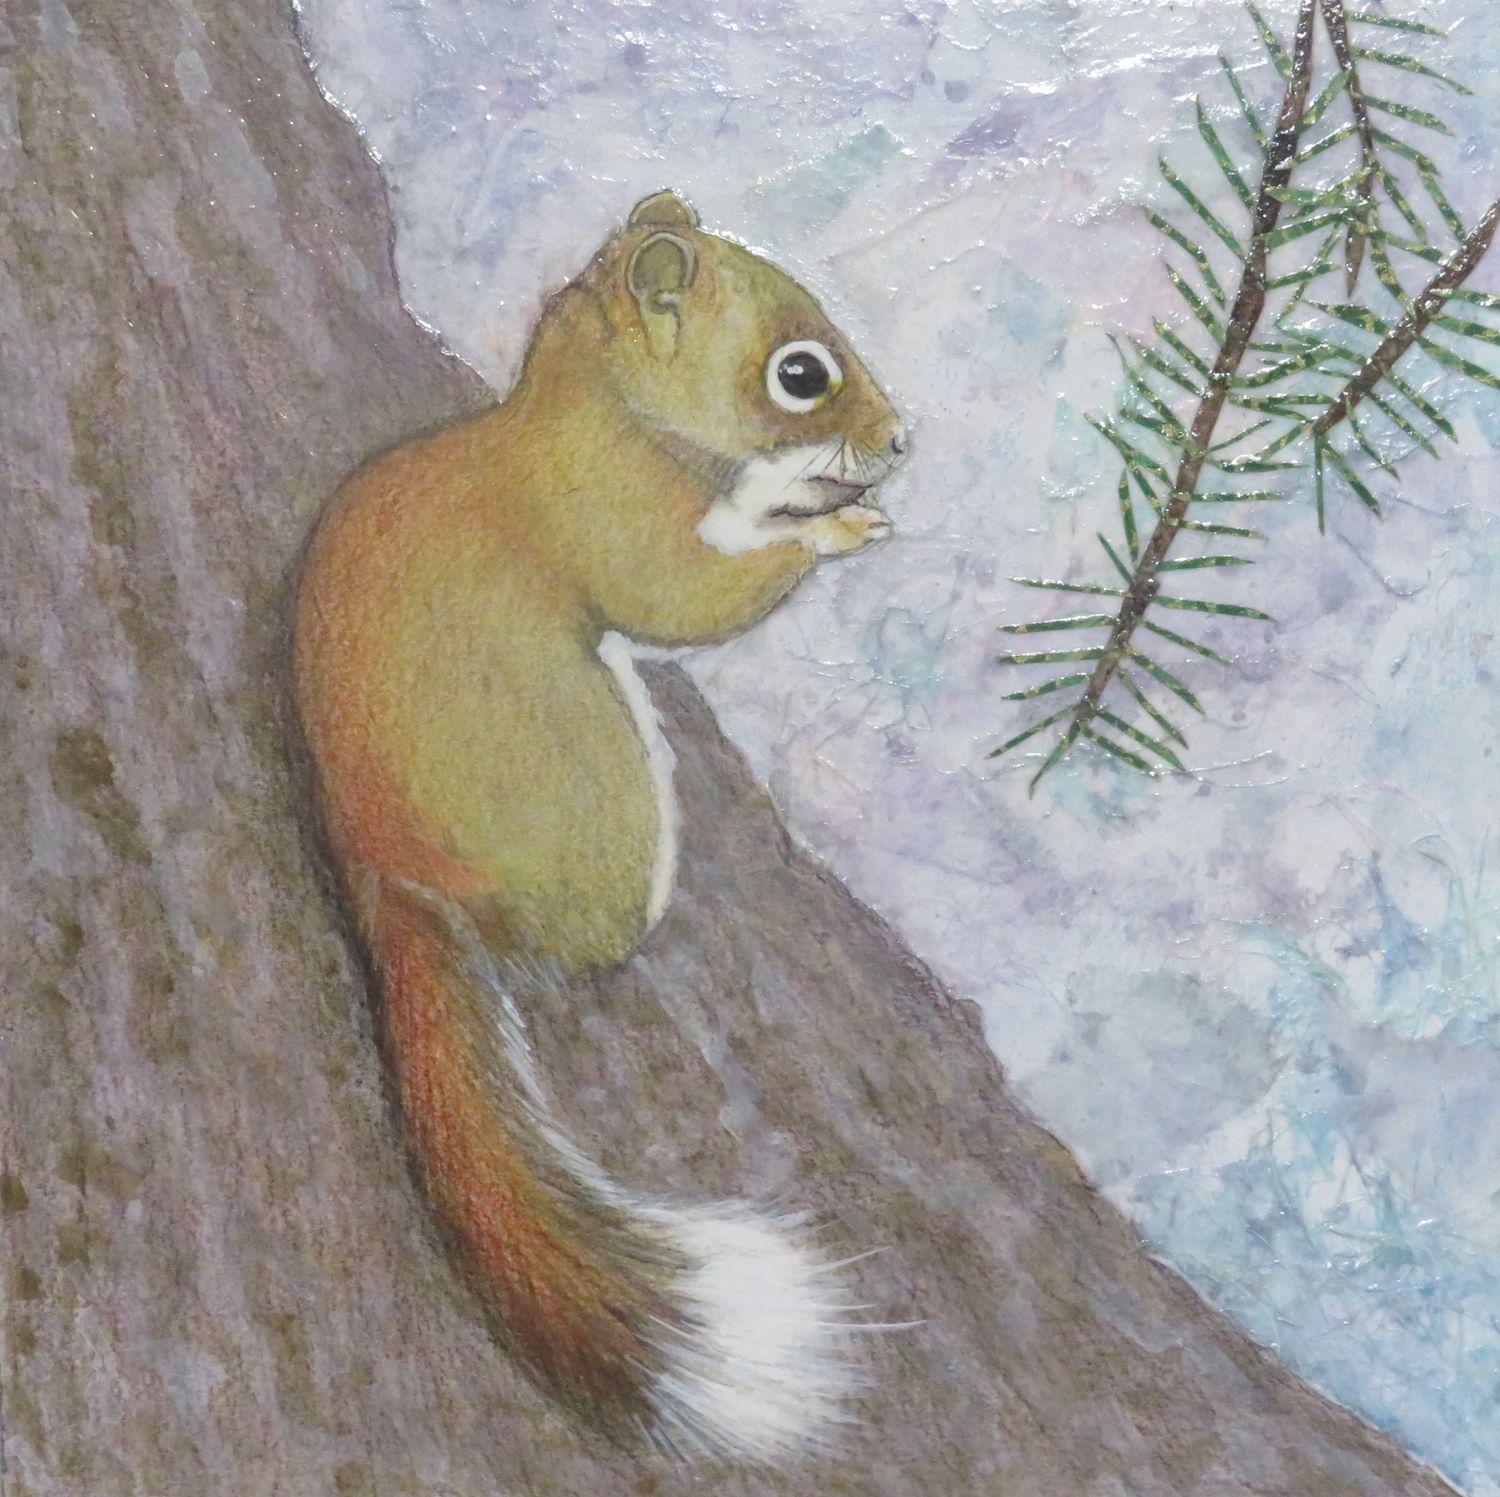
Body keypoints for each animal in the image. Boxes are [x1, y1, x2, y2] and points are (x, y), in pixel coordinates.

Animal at [292, 189, 906, 1461]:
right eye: (802, 373)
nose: (901, 441)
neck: (585, 408)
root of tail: (386, 872)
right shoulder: (610, 515)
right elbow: (681, 597)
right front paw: (824, 528)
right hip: (603, 799)